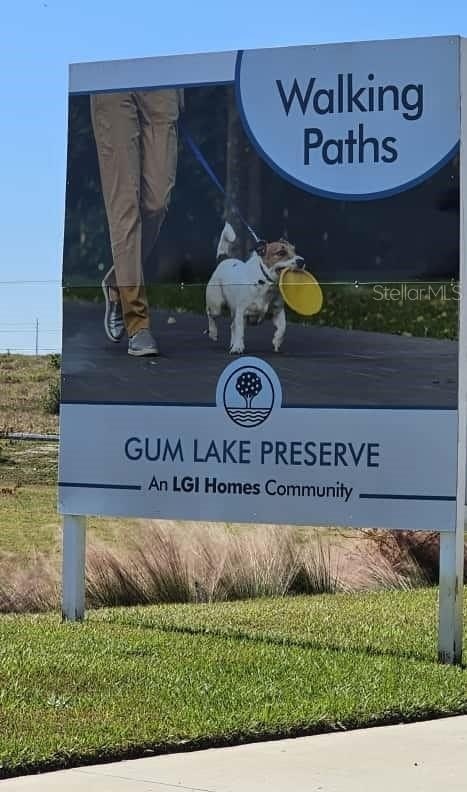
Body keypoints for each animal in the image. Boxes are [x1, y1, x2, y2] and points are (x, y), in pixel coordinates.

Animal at [206, 223, 304, 354]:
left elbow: (283, 328)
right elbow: (240, 332)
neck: (265, 282)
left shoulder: (277, 311)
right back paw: (213, 333)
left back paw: (232, 343)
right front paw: (238, 347)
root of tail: (224, 260)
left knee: (232, 326)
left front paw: (277, 341)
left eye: (294, 250)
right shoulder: (242, 312)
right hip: (216, 305)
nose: (302, 261)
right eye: (281, 253)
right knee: (211, 315)